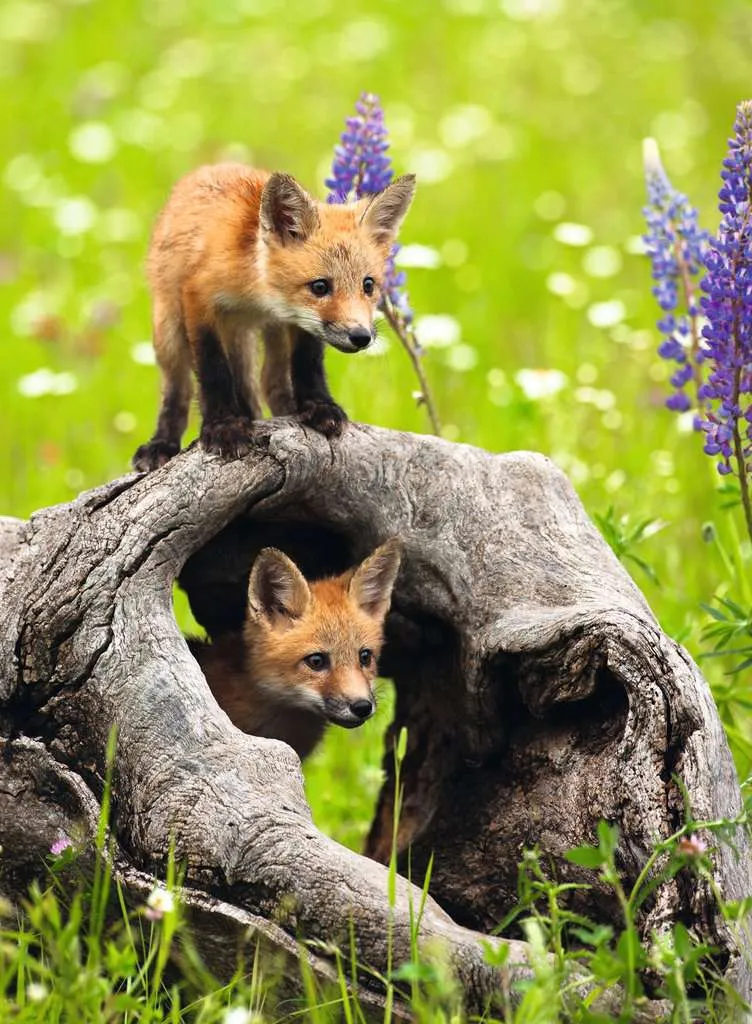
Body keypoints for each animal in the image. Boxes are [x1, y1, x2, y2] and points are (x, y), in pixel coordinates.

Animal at [132, 163, 417, 472]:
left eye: (368, 285)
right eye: (320, 287)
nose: (361, 336)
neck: (257, 293)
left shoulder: (299, 322)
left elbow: (307, 363)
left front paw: (319, 406)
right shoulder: (198, 298)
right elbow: (213, 370)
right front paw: (224, 425)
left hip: (271, 335)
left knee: (271, 382)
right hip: (169, 328)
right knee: (177, 390)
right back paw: (162, 443)